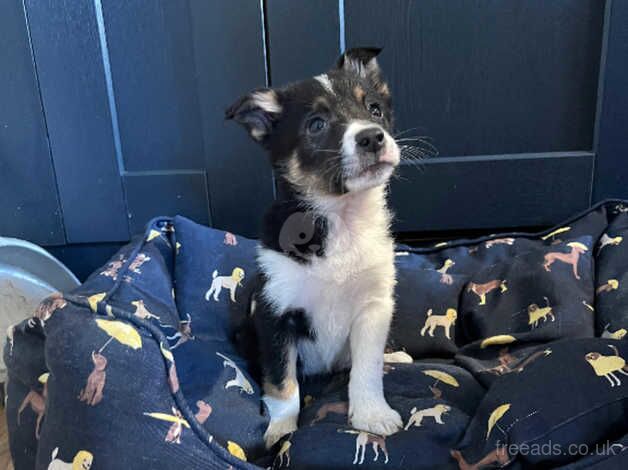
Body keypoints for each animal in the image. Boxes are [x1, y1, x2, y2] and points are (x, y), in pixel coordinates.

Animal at [228, 47, 400, 448]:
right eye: (317, 124)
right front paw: (281, 430)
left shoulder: (374, 308)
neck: (342, 216)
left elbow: (367, 368)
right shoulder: (275, 314)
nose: (373, 137)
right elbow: (282, 383)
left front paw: (372, 415)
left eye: (374, 109)